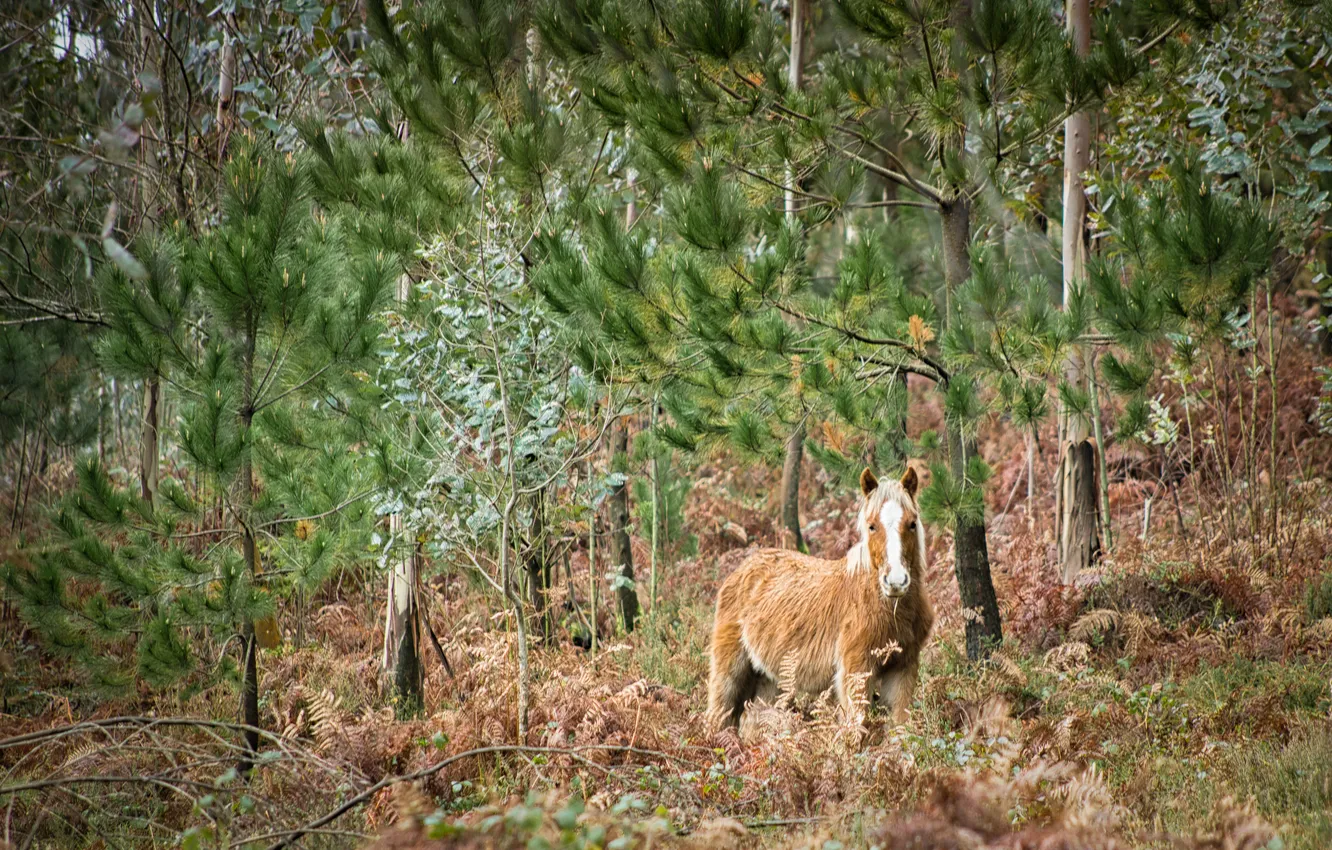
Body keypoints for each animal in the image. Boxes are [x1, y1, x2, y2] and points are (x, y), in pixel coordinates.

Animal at [708, 466, 937, 735]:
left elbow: (899, 729)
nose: (896, 581)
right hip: (729, 671)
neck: (885, 607)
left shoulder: (903, 670)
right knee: (717, 717)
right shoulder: (856, 671)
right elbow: (856, 731)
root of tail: (742, 568)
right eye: (871, 526)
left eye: (912, 524)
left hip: (770, 680)